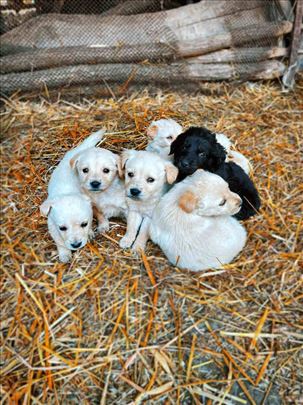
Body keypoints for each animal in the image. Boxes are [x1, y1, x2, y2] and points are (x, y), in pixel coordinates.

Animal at [39, 130, 104, 262]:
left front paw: (89, 232)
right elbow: (60, 242)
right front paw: (65, 254)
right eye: (62, 228)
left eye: (84, 224)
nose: (76, 245)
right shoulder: (52, 226)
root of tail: (79, 151)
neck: (67, 191)